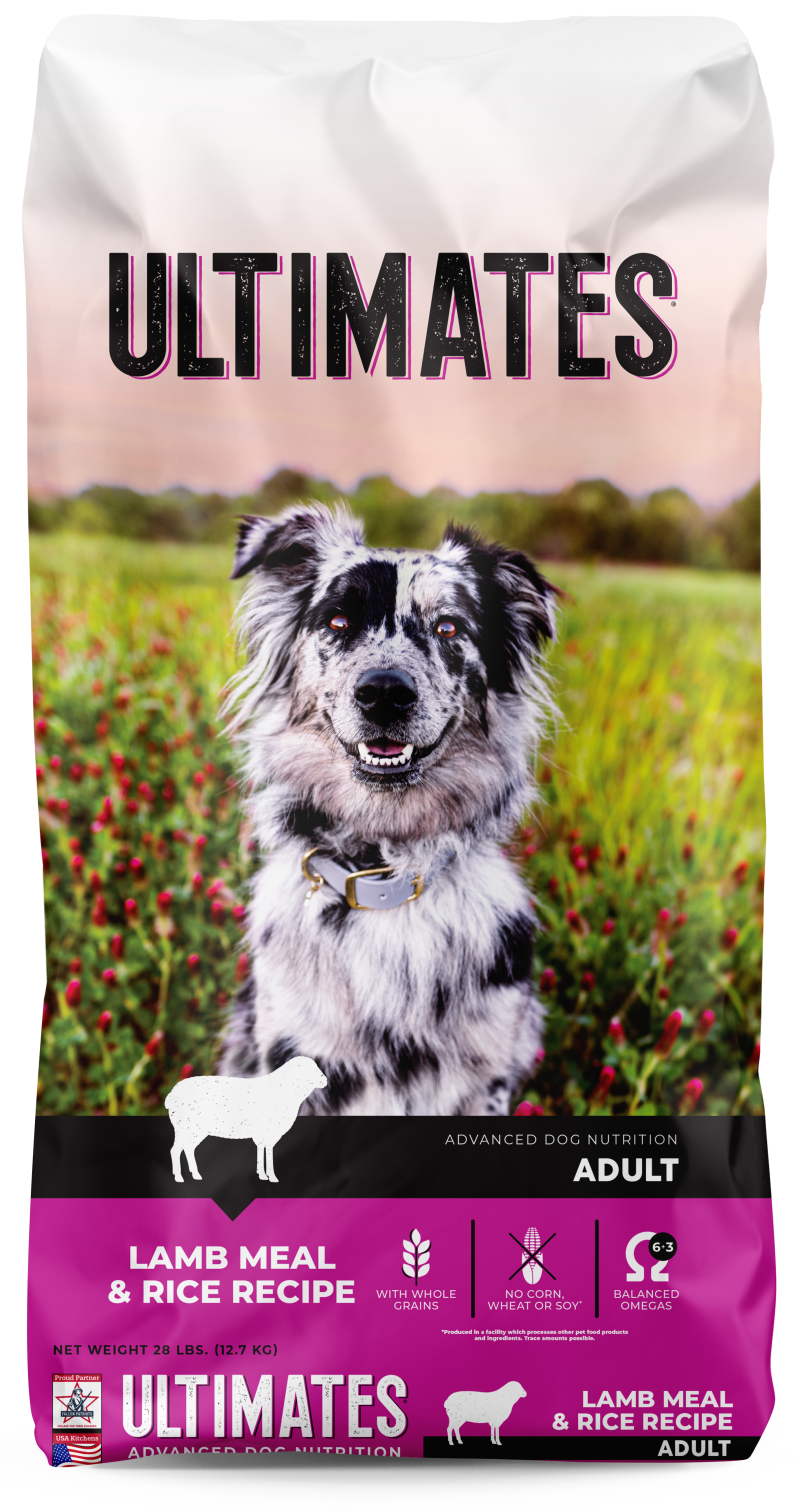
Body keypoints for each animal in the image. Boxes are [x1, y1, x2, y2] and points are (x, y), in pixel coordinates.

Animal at [165, 1057, 327, 1183]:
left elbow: (262, 1151)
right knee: (175, 1150)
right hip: (186, 1128)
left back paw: (196, 1175)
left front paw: (262, 1175)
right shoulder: (266, 1133)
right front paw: (270, 1176)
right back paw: (179, 1177)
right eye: (308, 1069)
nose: (325, 1080)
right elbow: (267, 1152)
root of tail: (171, 1096)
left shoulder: (263, 1135)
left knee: (188, 1148)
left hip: (196, 1131)